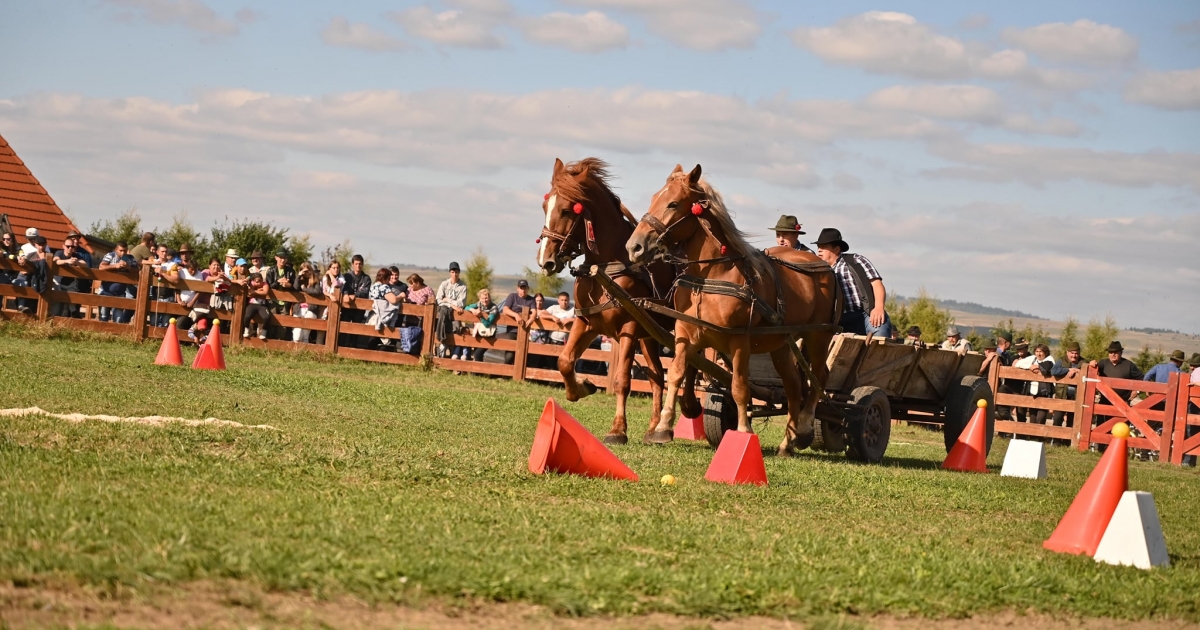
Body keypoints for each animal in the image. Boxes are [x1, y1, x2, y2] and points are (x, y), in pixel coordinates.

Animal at [537, 156, 700, 441]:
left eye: (567, 210)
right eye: (546, 206)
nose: (545, 261)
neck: (606, 268)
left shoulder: (628, 328)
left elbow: (622, 379)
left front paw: (617, 429)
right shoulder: (587, 323)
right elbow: (564, 361)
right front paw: (582, 387)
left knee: (692, 365)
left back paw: (688, 406)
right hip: (650, 337)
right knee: (657, 376)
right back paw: (654, 427)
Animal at [624, 164, 840, 453]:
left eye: (673, 203)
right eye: (653, 198)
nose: (634, 247)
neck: (712, 275)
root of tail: (824, 266)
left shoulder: (739, 341)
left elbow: (739, 387)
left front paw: (743, 431)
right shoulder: (685, 333)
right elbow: (677, 373)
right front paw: (662, 427)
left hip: (819, 336)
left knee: (819, 377)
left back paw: (804, 428)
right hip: (781, 344)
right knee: (794, 386)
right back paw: (787, 442)